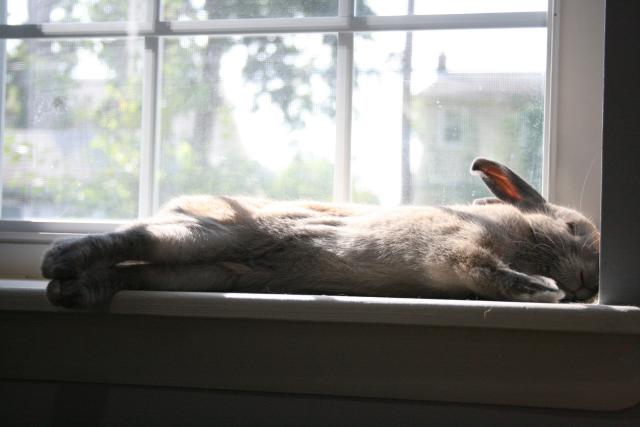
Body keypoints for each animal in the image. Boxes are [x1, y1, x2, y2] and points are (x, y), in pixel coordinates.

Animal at [41, 158, 600, 308]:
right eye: (573, 228)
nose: (587, 287)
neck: (523, 236)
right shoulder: (455, 248)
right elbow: (485, 270)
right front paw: (541, 290)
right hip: (211, 234)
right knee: (134, 240)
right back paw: (60, 262)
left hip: (209, 272)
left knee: (136, 271)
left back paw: (74, 290)